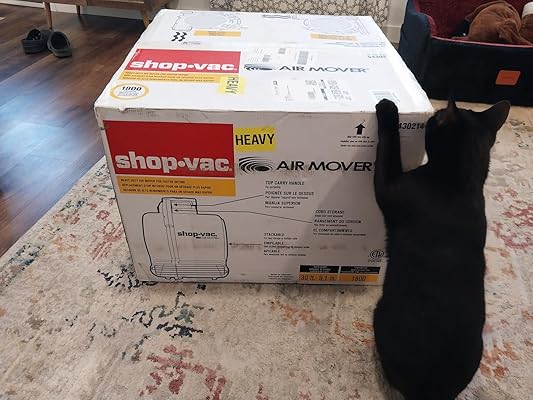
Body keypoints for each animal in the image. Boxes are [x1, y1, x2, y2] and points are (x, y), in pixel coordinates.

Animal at [372, 98, 510, 400]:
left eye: (436, 120)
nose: (434, 113)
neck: (462, 184)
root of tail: (430, 390)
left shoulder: (389, 187)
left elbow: (390, 145)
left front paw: (389, 109)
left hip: (378, 315)